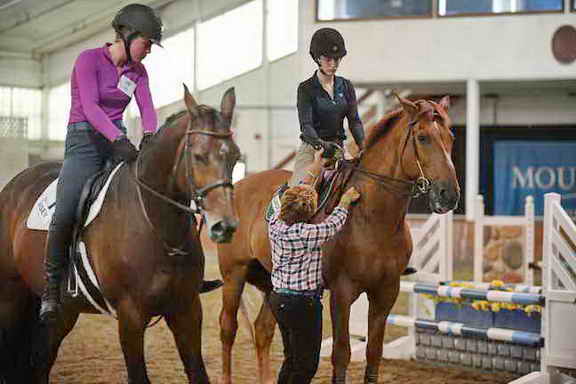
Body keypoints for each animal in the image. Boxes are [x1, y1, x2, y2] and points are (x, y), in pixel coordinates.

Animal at [0, 87, 241, 384]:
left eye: (235, 156)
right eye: (198, 156)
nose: (225, 226)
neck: (156, 223)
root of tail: (13, 186)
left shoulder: (187, 310)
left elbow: (197, 373)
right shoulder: (131, 316)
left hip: (64, 312)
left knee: (41, 362)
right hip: (10, 296)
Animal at [216, 95, 460, 384]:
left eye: (451, 137)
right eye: (423, 137)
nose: (449, 194)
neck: (373, 216)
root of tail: (239, 186)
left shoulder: (386, 293)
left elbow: (374, 354)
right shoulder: (342, 293)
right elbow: (341, 354)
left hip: (270, 281)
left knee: (263, 330)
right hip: (234, 274)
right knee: (228, 329)